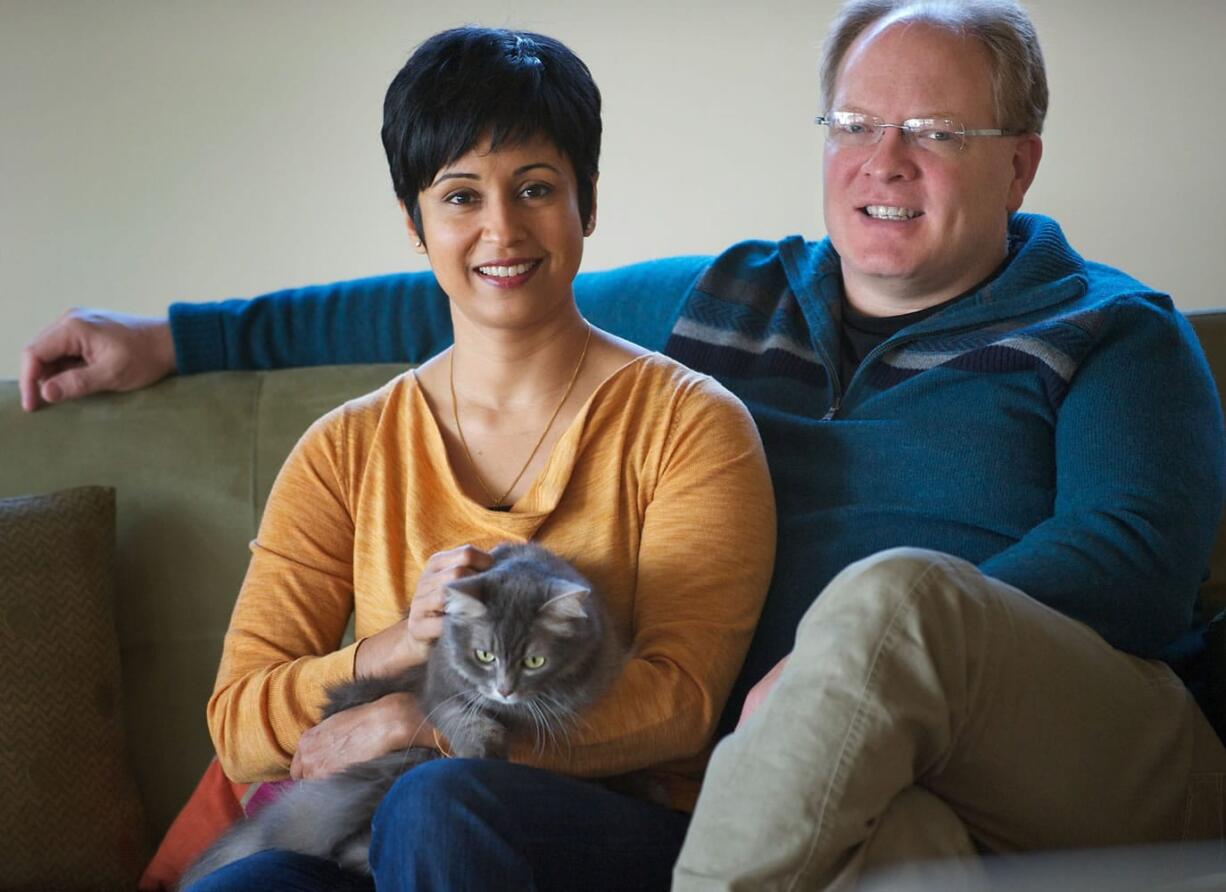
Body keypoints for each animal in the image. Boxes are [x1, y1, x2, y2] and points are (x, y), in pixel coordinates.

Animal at [178, 539, 622, 887]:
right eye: (485, 655)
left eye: (533, 661)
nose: (504, 689)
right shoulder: (440, 687)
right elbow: (464, 718)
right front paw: (482, 748)